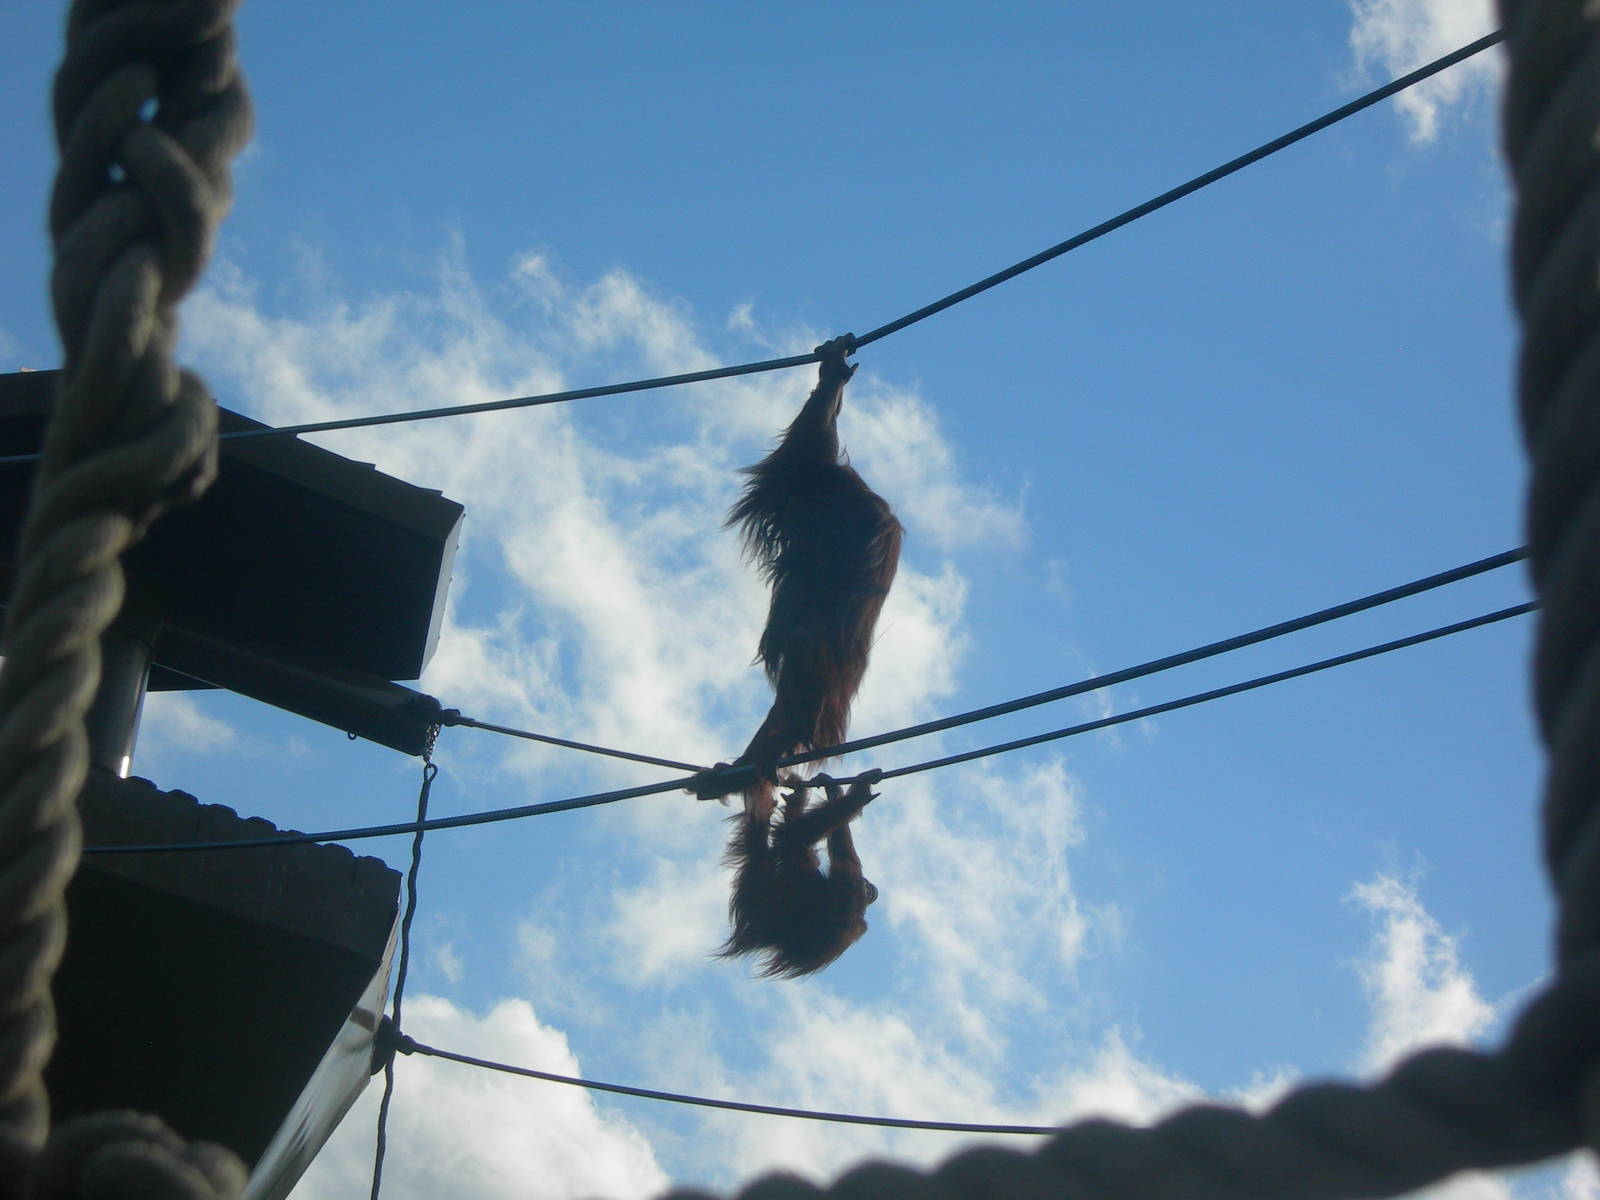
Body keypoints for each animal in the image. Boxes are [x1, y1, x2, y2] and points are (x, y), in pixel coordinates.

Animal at [718, 770, 883, 978]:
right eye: (868, 885)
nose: (870, 887)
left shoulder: (851, 882)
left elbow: (842, 857)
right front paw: (833, 790)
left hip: (762, 883)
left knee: (789, 838)